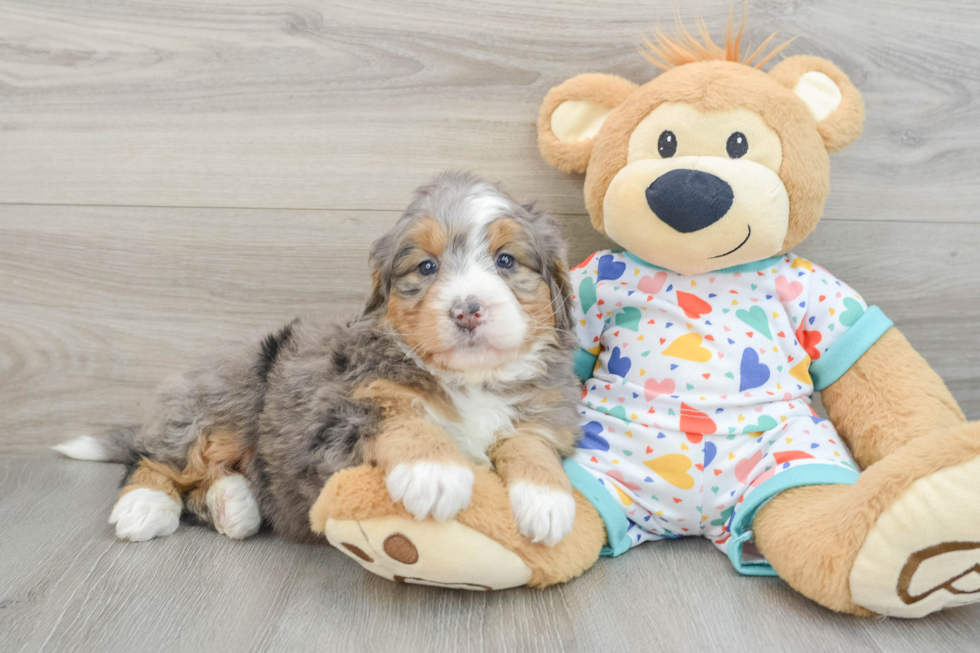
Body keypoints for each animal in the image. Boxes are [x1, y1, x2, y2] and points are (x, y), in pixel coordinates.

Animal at [55, 172, 580, 544]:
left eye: (506, 261)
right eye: (426, 267)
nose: (467, 309)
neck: (470, 380)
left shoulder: (545, 409)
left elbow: (530, 442)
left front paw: (548, 500)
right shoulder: (341, 414)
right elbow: (401, 417)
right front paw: (435, 472)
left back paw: (235, 504)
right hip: (228, 393)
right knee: (156, 459)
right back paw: (145, 507)